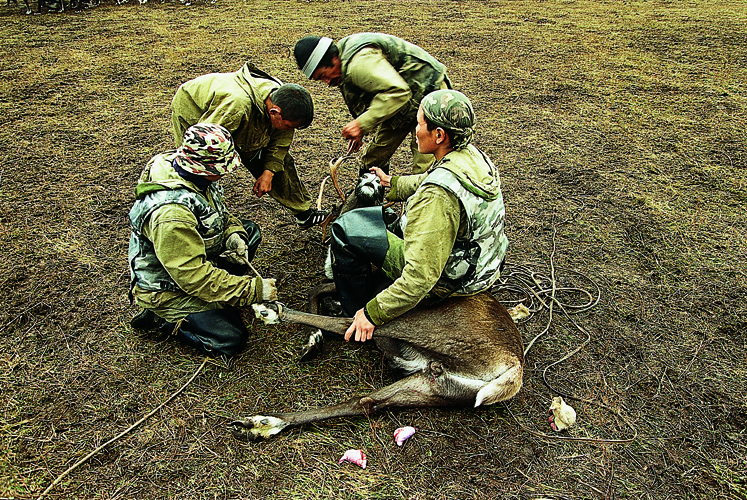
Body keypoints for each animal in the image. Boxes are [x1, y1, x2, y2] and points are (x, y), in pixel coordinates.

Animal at [229, 282, 524, 442]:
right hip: (433, 385)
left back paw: (271, 311)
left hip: (410, 318)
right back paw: (263, 424)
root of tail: (514, 369)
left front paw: (308, 335)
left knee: (347, 324)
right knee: (364, 402)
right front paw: (312, 339)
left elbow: (321, 287)